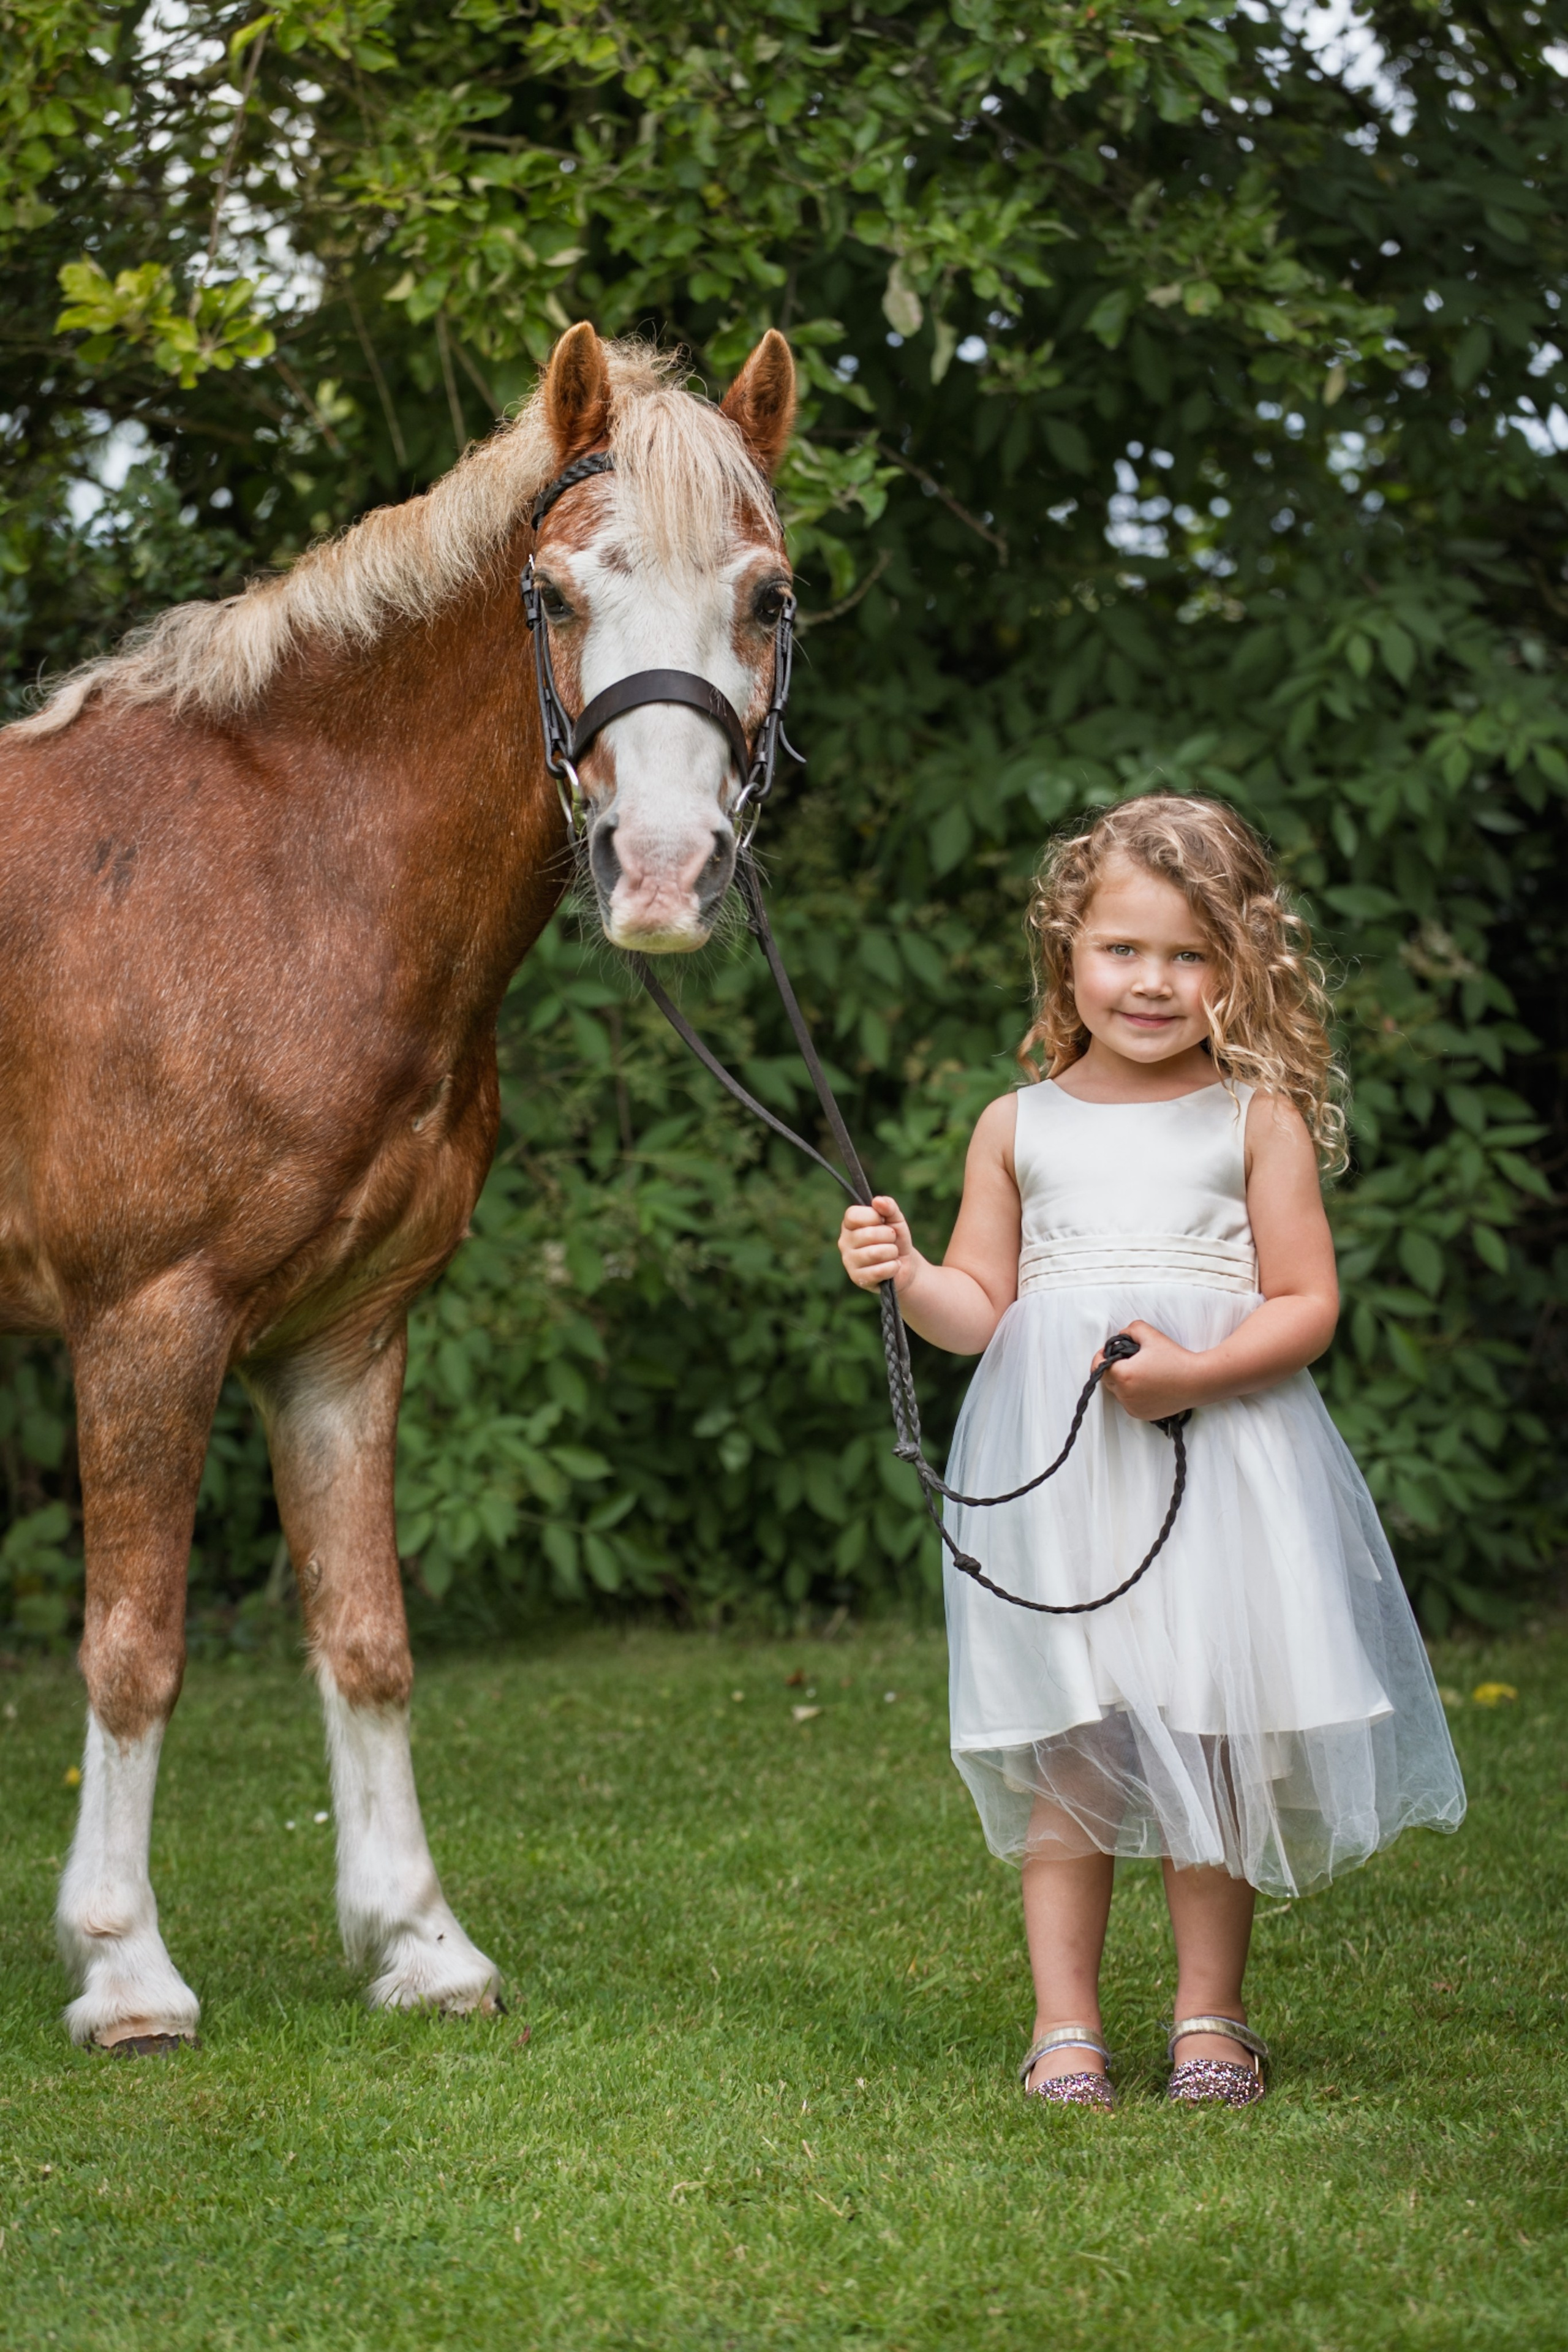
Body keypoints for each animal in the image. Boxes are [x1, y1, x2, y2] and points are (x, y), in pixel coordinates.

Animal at [0, 321, 797, 2049]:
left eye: (767, 597)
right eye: (553, 594)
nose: (661, 874)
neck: (281, 872)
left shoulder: (341, 1340)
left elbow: (367, 1639)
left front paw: (417, 1941)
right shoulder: (146, 1325)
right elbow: (132, 1646)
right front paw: (123, 1968)